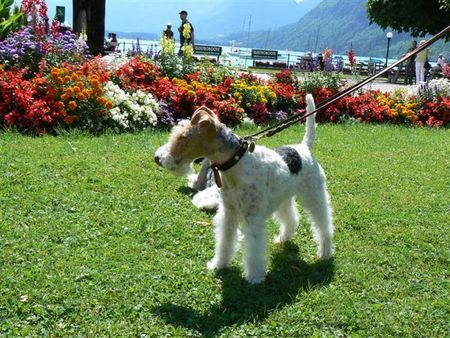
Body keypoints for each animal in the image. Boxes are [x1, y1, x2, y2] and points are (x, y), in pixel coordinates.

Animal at [155, 93, 334, 284]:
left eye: (182, 137)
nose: (158, 158)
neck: (236, 163)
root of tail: (303, 148)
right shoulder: (228, 213)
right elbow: (225, 241)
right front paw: (218, 264)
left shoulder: (252, 218)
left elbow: (253, 250)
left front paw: (254, 277)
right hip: (283, 197)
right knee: (291, 219)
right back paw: (282, 238)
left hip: (315, 196)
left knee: (323, 223)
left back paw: (325, 252)